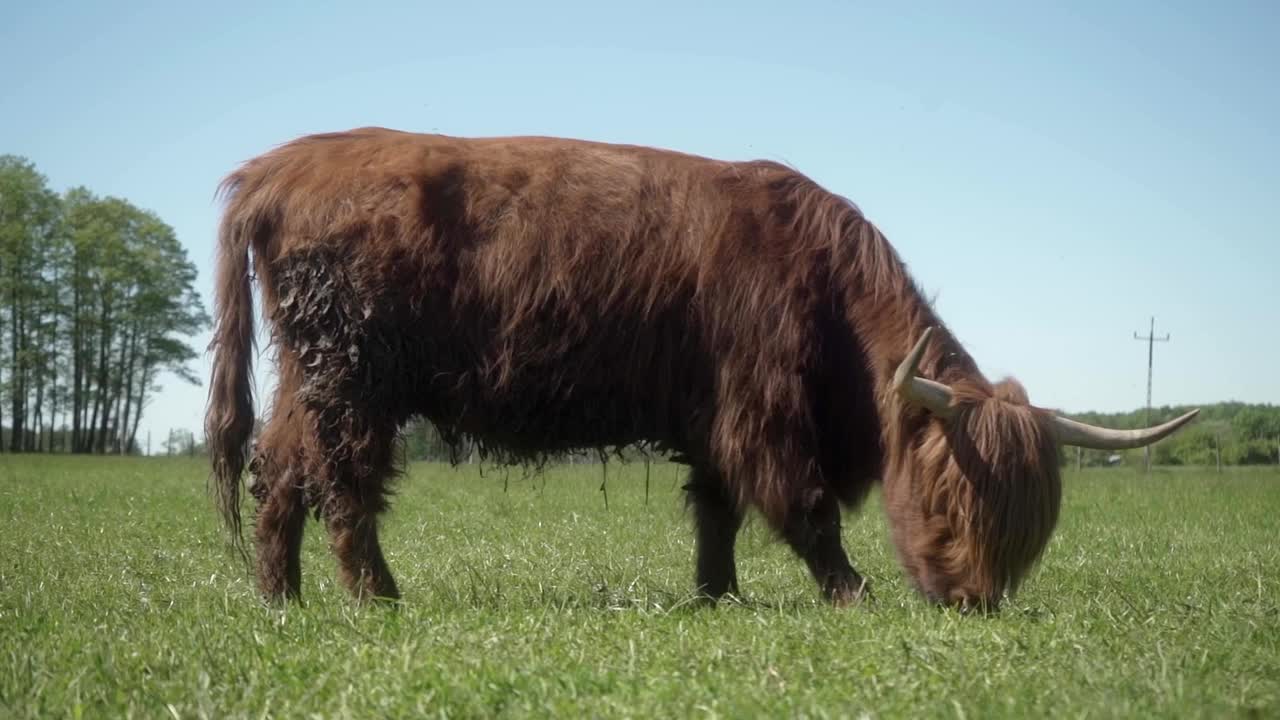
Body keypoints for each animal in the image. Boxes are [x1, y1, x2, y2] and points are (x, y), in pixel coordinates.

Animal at [207, 127, 1198, 604]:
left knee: (279, 472)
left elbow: (718, 510)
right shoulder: (758, 404)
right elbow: (801, 505)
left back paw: (280, 596)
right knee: (343, 481)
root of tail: (277, 168)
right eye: (954, 502)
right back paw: (377, 595)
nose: (973, 600)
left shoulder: (714, 413)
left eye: (1032, 531)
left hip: (309, 371)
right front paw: (850, 592)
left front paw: (717, 594)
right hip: (354, 375)